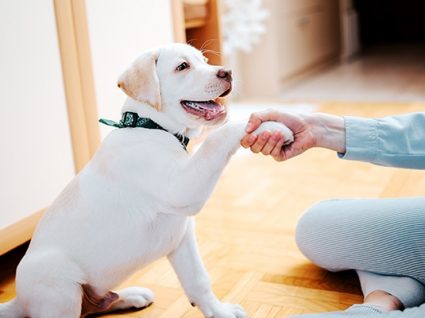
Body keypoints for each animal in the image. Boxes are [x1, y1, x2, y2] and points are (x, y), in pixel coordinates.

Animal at [0, 42, 292, 318]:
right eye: (183, 66)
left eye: (204, 60)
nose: (228, 72)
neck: (151, 126)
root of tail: (19, 302)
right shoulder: (182, 188)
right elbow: (217, 138)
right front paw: (269, 125)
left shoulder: (182, 235)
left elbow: (198, 280)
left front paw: (219, 312)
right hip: (59, 285)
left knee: (92, 308)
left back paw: (130, 296)